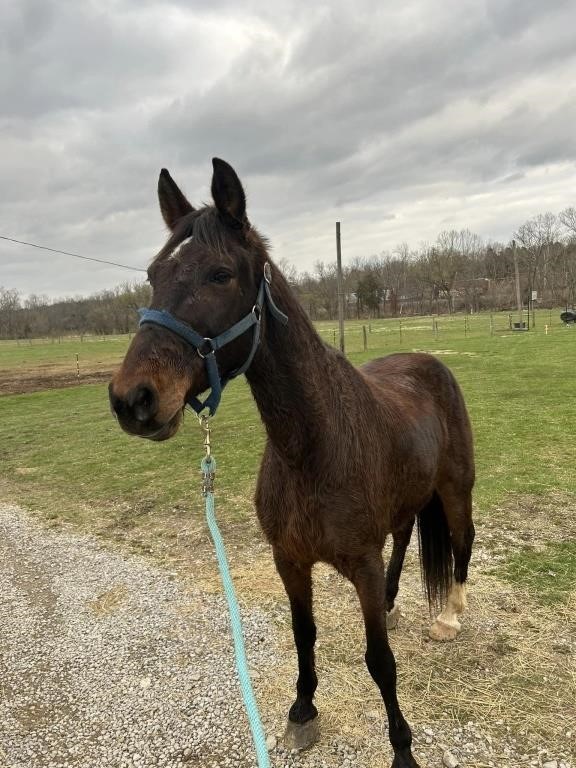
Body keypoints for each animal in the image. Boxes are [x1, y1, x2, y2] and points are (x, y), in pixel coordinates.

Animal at [109, 159, 476, 764]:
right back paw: (396, 604)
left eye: (220, 274)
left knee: (463, 541)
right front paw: (303, 711)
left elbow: (380, 662)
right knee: (404, 533)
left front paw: (402, 746)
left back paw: (449, 616)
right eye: (152, 274)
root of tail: (430, 363)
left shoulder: (362, 565)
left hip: (455, 488)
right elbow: (305, 635)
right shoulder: (290, 559)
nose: (131, 399)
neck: (311, 447)